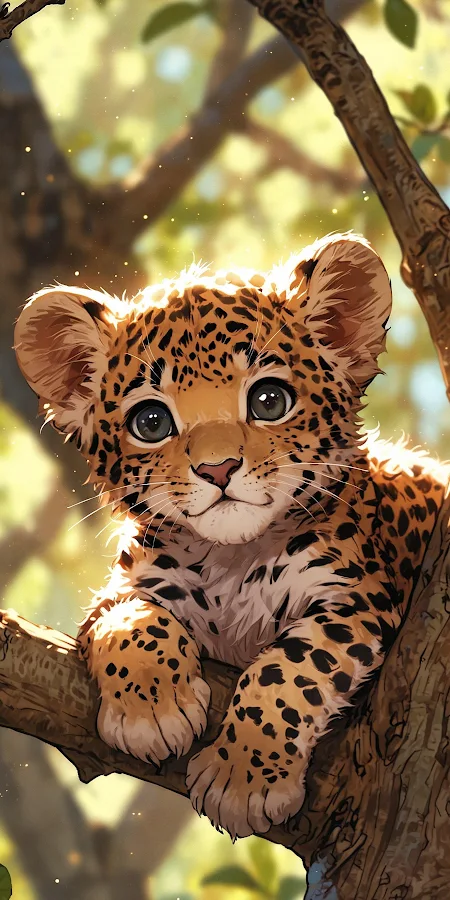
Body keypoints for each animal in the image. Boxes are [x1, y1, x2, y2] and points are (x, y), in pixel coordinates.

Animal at [14, 232, 449, 840]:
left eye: (269, 401)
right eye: (151, 422)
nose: (217, 469)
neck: (231, 562)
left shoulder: (355, 599)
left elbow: (291, 669)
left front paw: (244, 778)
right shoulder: (126, 585)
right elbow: (129, 621)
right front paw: (151, 707)